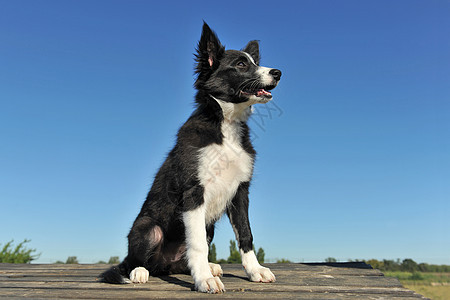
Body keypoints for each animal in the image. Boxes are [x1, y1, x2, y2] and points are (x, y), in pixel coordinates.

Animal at [100, 22, 282, 292]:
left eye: (254, 62)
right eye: (241, 64)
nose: (278, 73)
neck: (225, 124)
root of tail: (161, 264)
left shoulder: (240, 192)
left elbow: (246, 235)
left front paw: (255, 271)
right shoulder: (194, 192)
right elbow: (197, 245)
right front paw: (204, 279)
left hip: (208, 228)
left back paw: (209, 267)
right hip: (148, 228)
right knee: (134, 260)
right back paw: (139, 271)